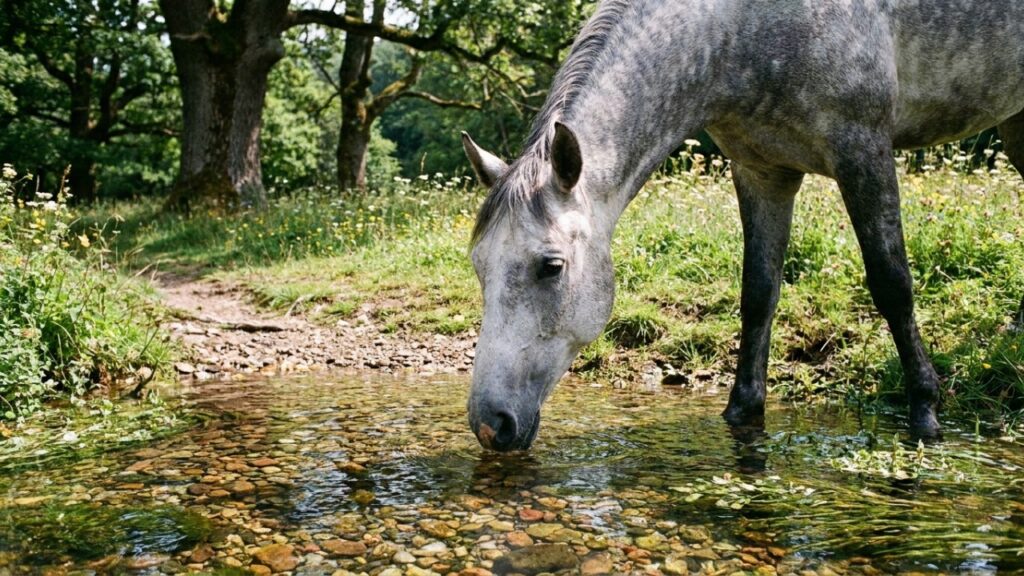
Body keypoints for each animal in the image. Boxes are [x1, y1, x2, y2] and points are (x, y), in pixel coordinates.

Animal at [461, 0, 1024, 451]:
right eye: (479, 267)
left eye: (551, 267)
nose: (491, 425)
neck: (743, 30)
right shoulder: (762, 171)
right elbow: (758, 293)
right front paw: (743, 411)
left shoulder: (863, 151)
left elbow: (892, 284)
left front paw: (924, 411)